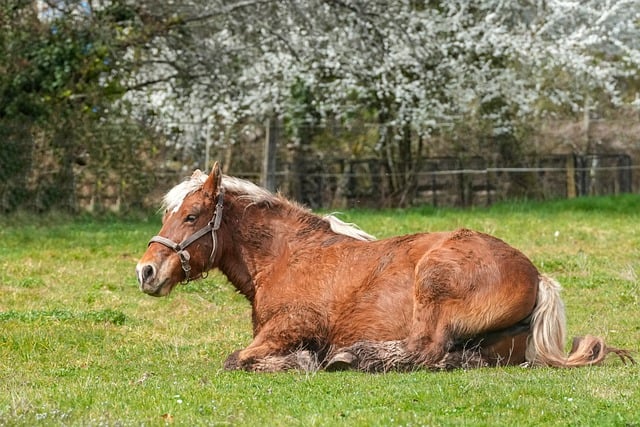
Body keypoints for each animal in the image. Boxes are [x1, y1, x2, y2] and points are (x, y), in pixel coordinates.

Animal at [135, 162, 633, 372]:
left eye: (192, 216)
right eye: (169, 214)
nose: (146, 271)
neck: (286, 255)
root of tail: (538, 277)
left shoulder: (293, 325)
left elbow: (237, 358)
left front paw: (302, 360)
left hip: (433, 282)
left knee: (427, 349)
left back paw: (358, 357)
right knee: (454, 357)